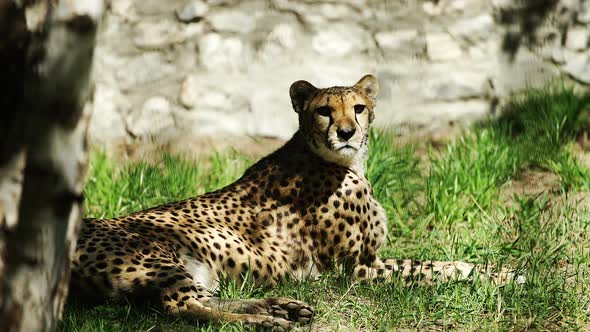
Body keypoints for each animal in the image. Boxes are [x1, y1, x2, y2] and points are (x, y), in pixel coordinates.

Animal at [70, 74, 524, 330]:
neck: (341, 161)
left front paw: (506, 273)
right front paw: (497, 278)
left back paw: (282, 307)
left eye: (359, 107)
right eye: (324, 111)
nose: (345, 132)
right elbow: (427, 271)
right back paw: (267, 321)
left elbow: (444, 263)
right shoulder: (355, 271)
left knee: (203, 299)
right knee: (182, 308)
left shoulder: (368, 261)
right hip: (158, 254)